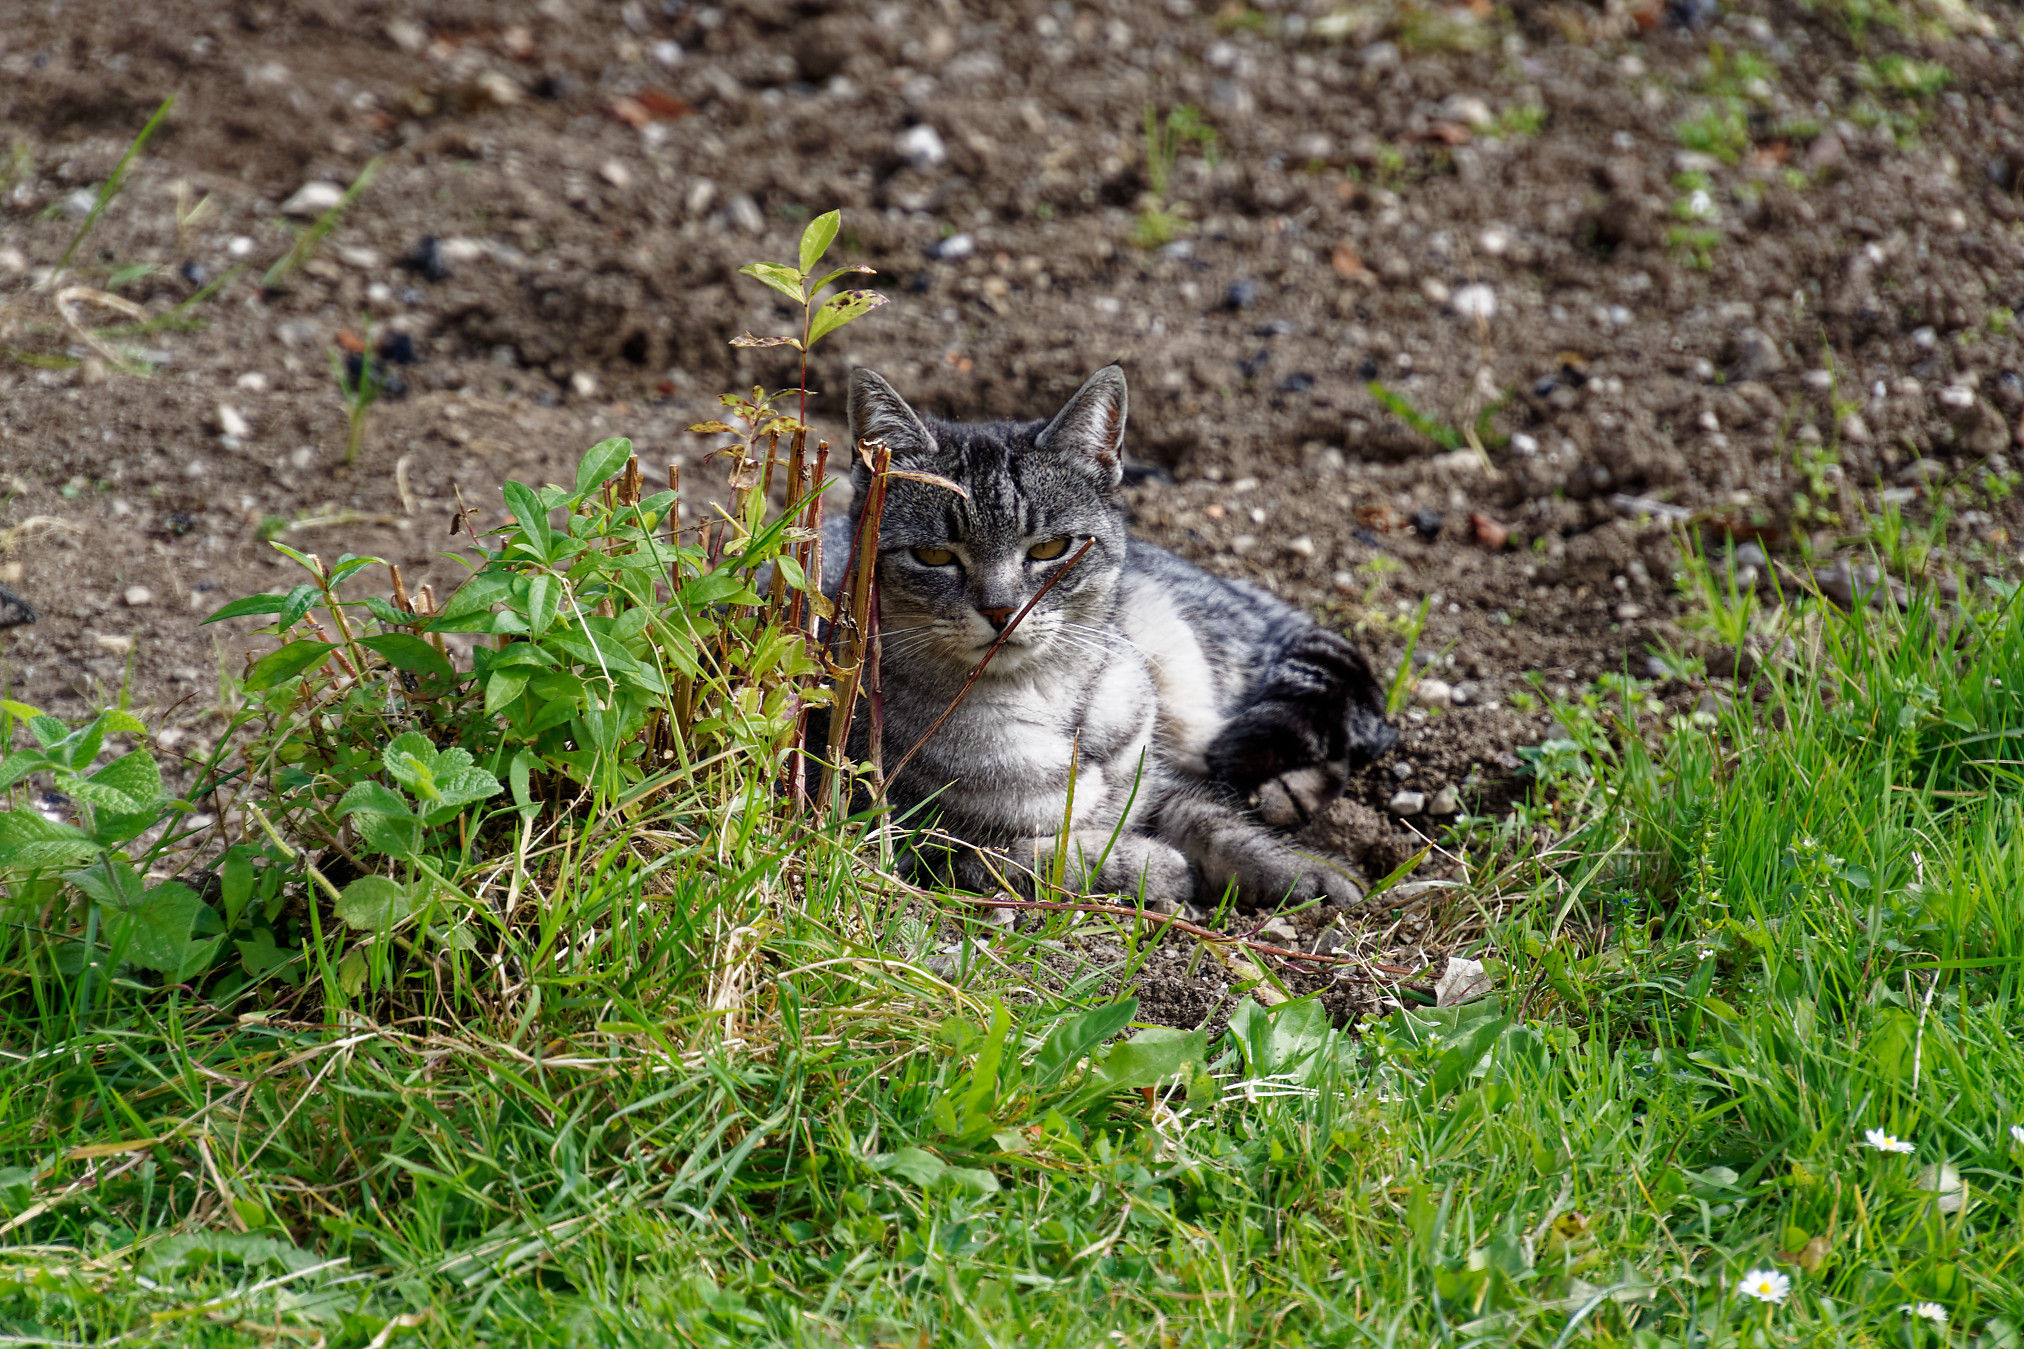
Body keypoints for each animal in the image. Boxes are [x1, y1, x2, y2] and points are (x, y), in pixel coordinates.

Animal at [821, 364, 1392, 914]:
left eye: (1050, 549)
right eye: (934, 556)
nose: (1001, 611)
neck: (1049, 704)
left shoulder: (1157, 783)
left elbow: (1218, 825)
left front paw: (1310, 871)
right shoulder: (916, 845)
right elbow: (1042, 857)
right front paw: (1159, 865)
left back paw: (1285, 794)